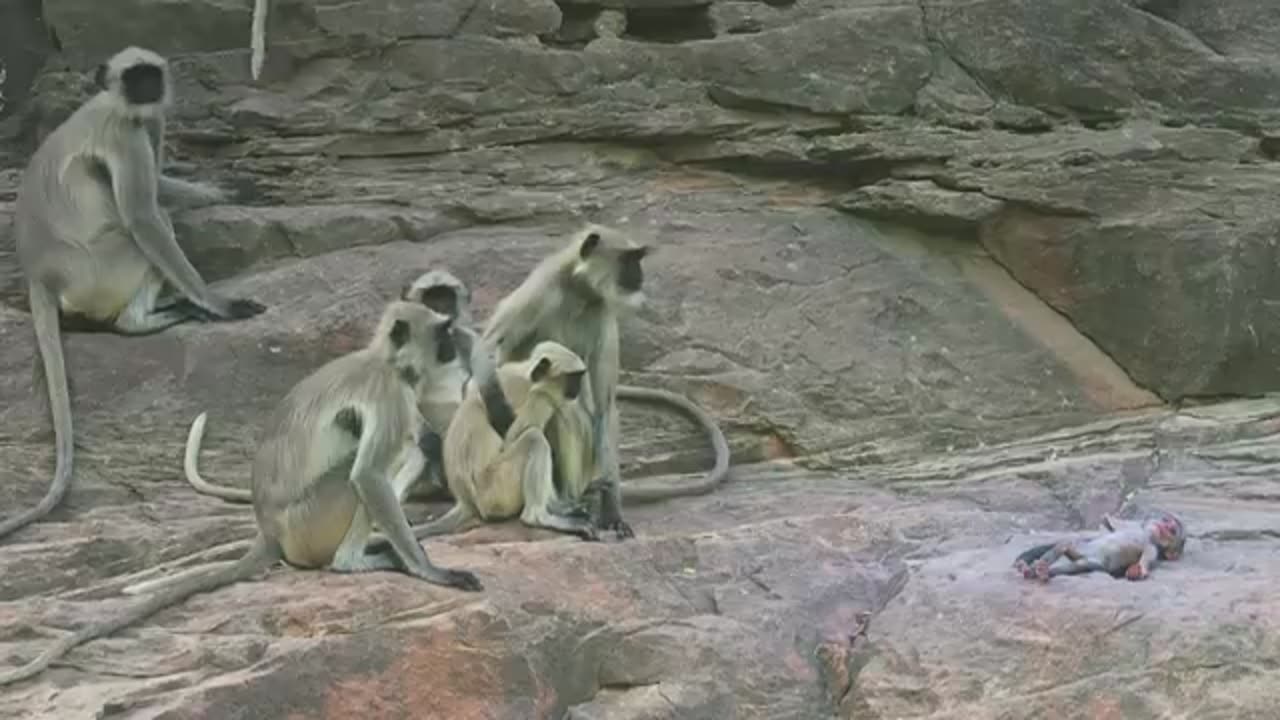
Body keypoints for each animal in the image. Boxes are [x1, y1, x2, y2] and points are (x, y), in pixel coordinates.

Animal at [0, 46, 264, 538]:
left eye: (150, 75)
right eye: (132, 77)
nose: (147, 89)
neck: (118, 106)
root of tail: (39, 273)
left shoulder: (149, 121)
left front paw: (230, 189)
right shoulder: (128, 134)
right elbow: (144, 213)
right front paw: (216, 303)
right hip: (101, 268)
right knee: (148, 230)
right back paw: (146, 318)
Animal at [0, 299, 481, 686]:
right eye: (442, 333)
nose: (454, 347)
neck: (384, 360)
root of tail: (268, 530)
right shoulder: (390, 393)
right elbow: (367, 476)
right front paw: (434, 572)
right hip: (312, 518)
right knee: (373, 466)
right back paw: (354, 561)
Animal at [414, 340, 604, 538]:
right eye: (574, 377)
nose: (578, 389)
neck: (528, 378)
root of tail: (465, 501)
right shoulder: (540, 396)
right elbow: (512, 438)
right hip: (497, 492)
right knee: (534, 437)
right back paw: (538, 517)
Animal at [476, 224, 732, 538]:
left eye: (638, 258)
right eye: (630, 259)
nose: (640, 275)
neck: (579, 291)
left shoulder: (603, 314)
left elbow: (603, 405)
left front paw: (613, 513)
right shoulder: (539, 289)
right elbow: (489, 350)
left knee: (572, 414)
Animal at [1013, 507, 1182, 579]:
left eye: (1173, 531)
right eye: (1166, 520)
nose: (1165, 526)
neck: (1147, 535)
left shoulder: (1152, 547)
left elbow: (1146, 559)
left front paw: (1138, 570)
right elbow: (1111, 525)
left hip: (1091, 563)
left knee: (1074, 566)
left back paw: (1042, 570)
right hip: (1081, 550)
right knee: (1066, 544)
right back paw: (1032, 567)